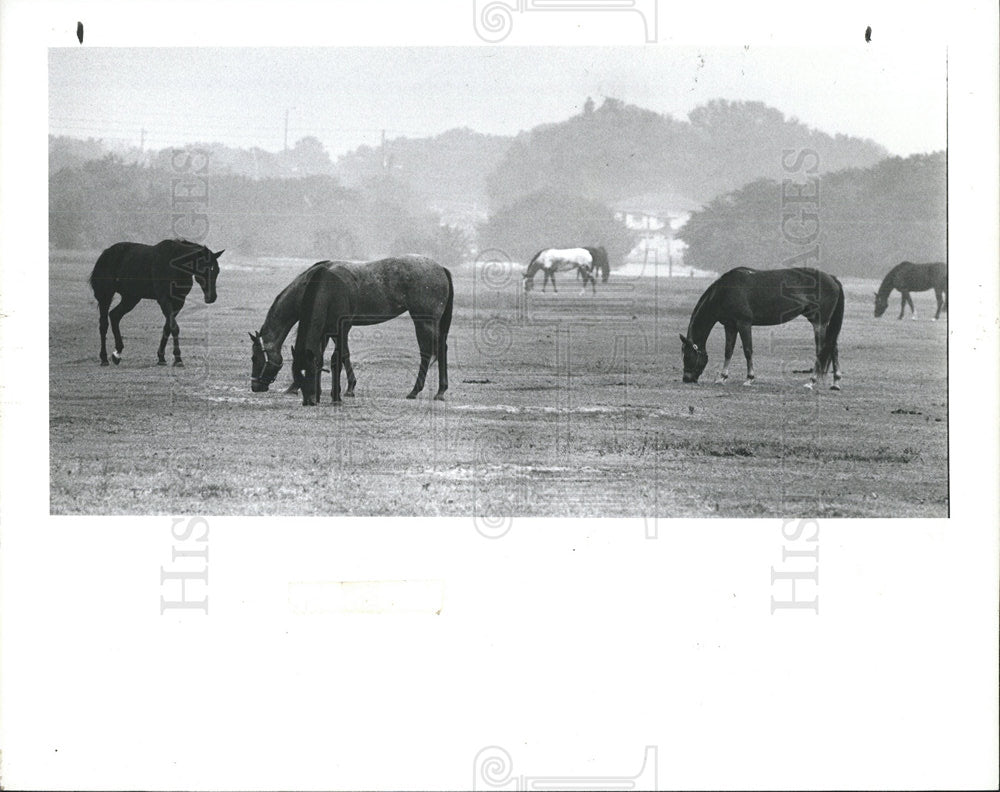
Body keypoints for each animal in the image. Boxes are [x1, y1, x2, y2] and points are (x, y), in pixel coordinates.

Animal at [88, 240, 223, 366]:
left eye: (217, 270)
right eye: (204, 268)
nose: (211, 297)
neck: (174, 265)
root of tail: (105, 254)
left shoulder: (179, 302)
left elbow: (168, 327)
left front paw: (161, 357)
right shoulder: (164, 299)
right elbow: (174, 327)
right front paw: (178, 359)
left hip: (131, 298)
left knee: (115, 316)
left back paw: (117, 354)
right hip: (106, 296)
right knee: (104, 324)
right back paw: (104, 358)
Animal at [258, 256, 458, 406]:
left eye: (262, 356)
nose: (257, 385)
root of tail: (441, 268)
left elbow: (341, 355)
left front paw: (347, 388)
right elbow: (328, 355)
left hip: (424, 322)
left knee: (431, 351)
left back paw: (420, 390)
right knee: (439, 349)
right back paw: (438, 390)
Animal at [680, 266, 844, 390]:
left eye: (687, 356)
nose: (686, 379)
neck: (725, 291)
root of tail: (832, 278)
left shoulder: (744, 324)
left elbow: (748, 350)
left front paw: (749, 379)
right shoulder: (730, 326)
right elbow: (728, 351)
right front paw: (722, 377)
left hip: (819, 324)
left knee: (821, 350)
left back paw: (811, 381)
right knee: (833, 348)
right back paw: (835, 383)